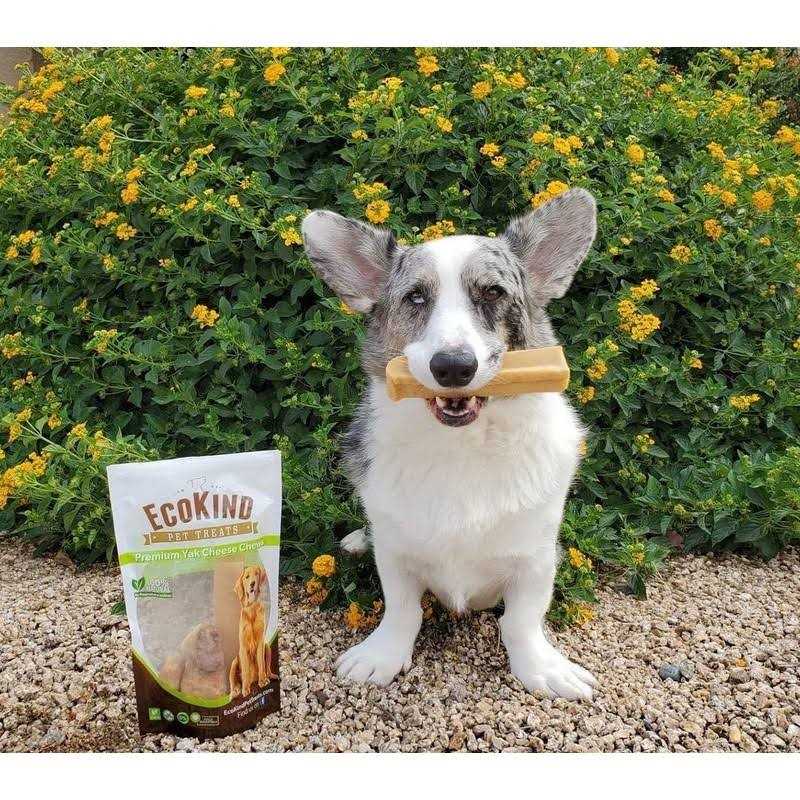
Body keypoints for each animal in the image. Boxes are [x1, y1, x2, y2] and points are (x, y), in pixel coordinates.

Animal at [229, 564, 276, 699]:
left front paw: (262, 681)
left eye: (257, 574)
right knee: (233, 683)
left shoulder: (261, 641)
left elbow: (261, 662)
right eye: (247, 577)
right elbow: (245, 670)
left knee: (267, 668)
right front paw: (245, 689)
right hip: (234, 662)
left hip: (267, 647)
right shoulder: (243, 646)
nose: (252, 584)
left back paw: (268, 677)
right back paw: (236, 691)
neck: (252, 608)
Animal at [301, 188, 598, 699]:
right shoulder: (396, 555)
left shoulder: (536, 558)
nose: (454, 367)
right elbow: (402, 610)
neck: (461, 446)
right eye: (415, 297)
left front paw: (541, 669)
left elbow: (522, 621)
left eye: (494, 293)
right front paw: (382, 657)